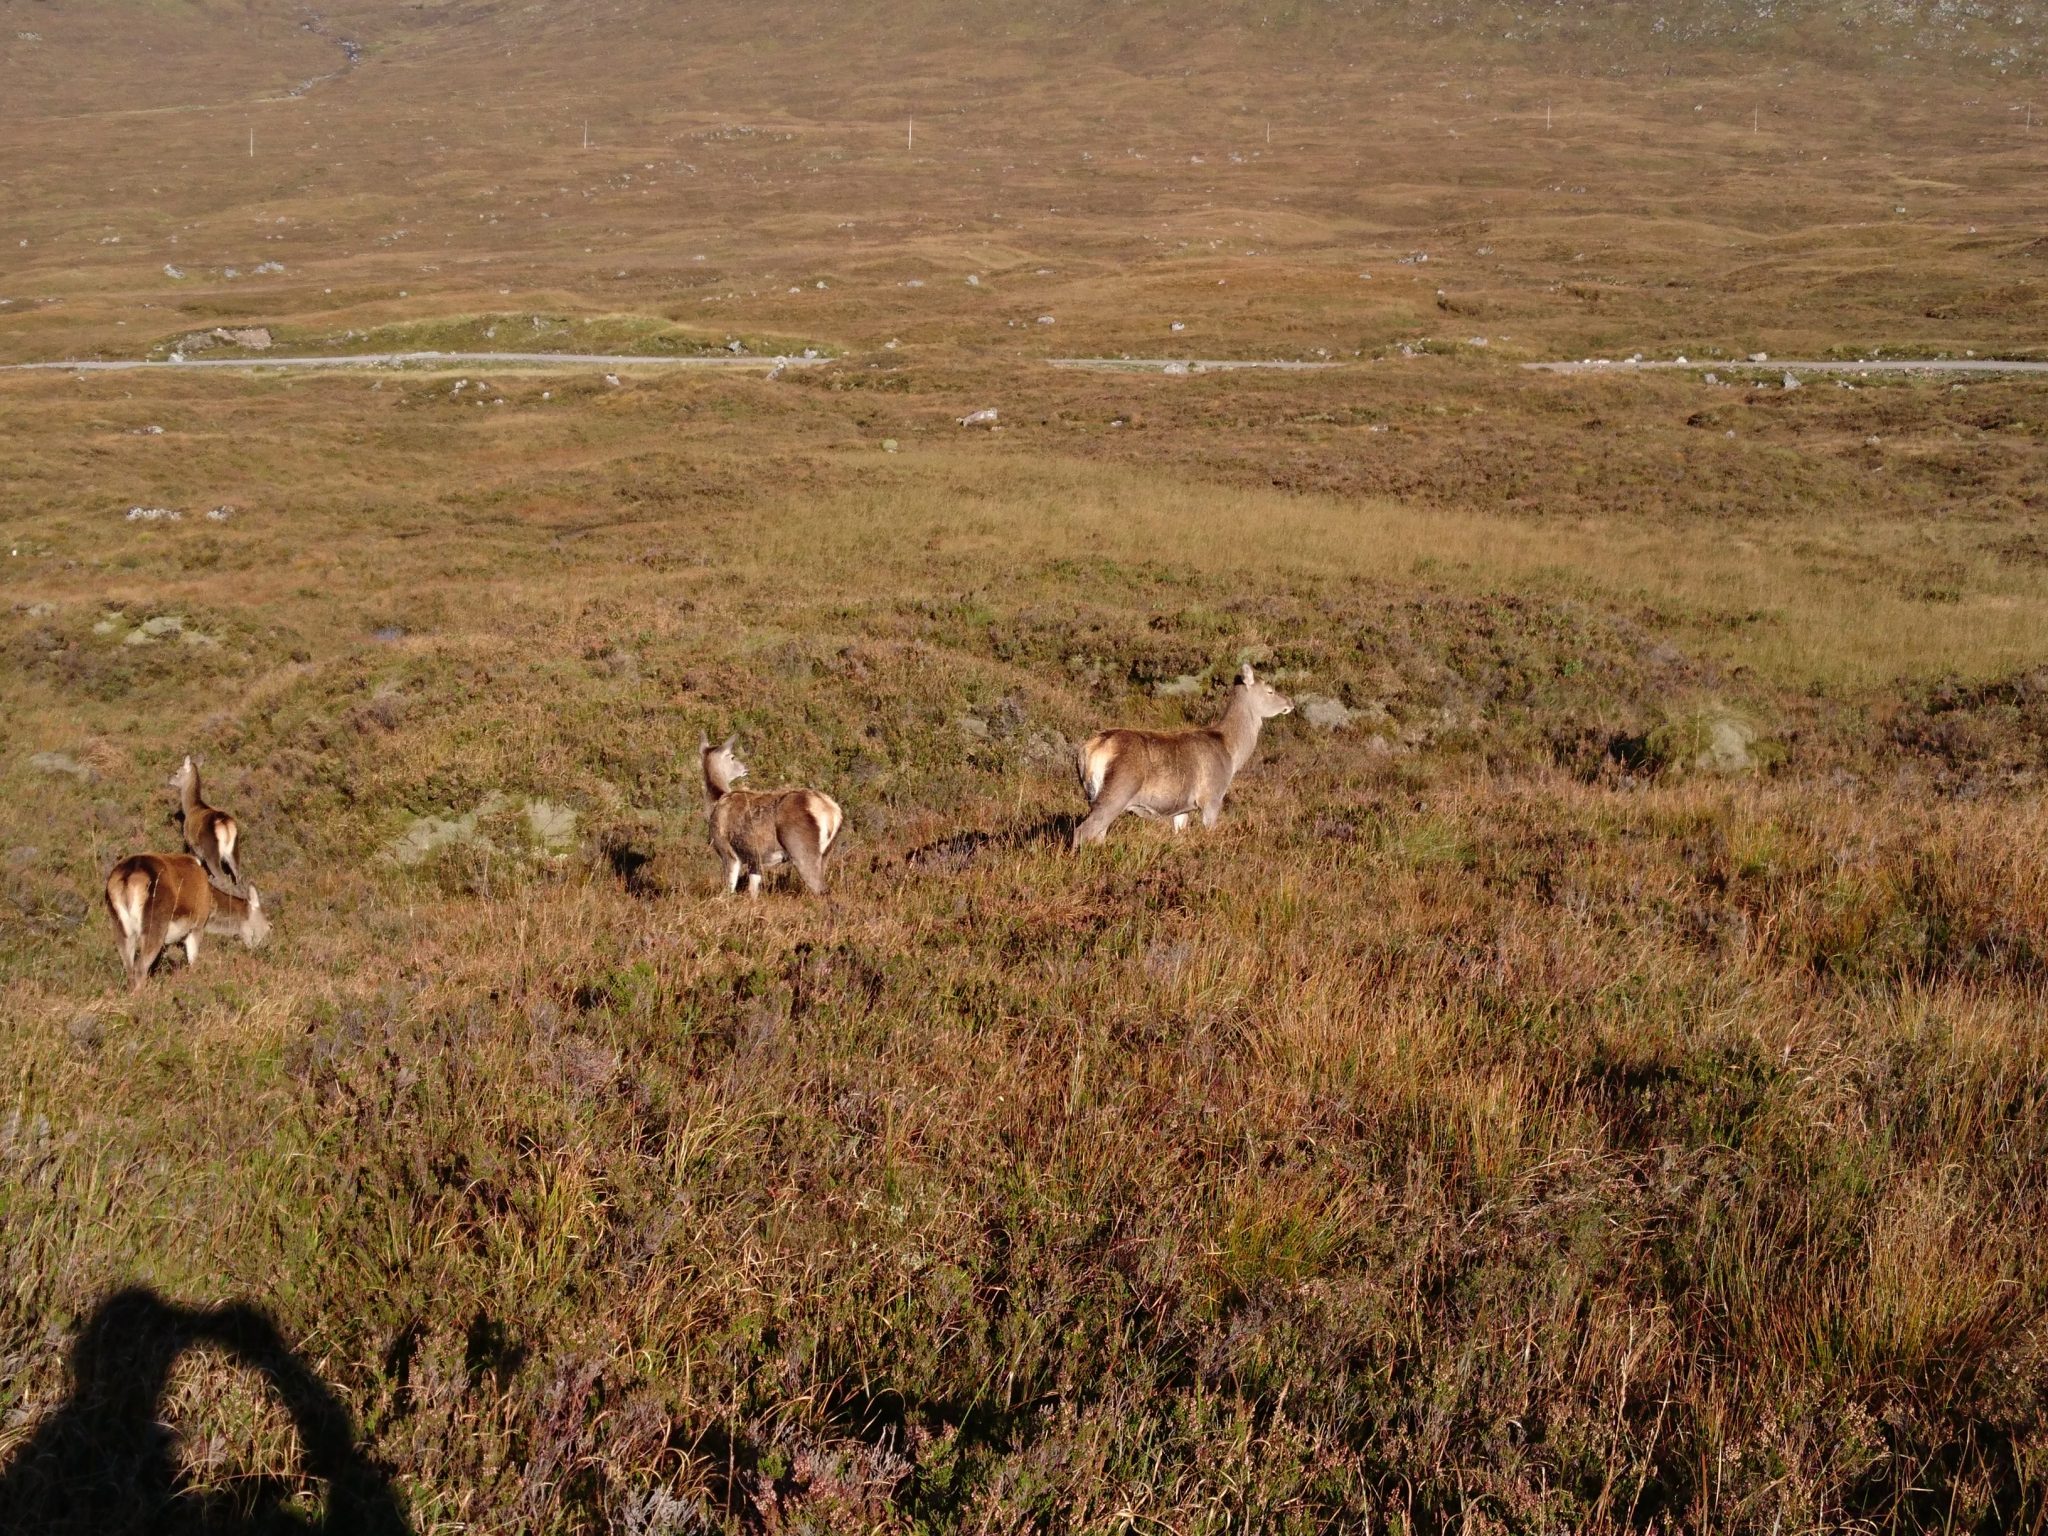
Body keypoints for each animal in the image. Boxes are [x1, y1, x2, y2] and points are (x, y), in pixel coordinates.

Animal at [103, 856, 270, 999]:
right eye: (270, 925)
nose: (264, 950)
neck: (210, 899)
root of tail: (129, 876)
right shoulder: (197, 925)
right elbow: (193, 961)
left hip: (119, 925)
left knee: (129, 966)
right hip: (155, 923)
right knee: (140, 966)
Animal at [165, 757, 241, 888]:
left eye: (177, 772)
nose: (169, 778)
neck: (190, 808)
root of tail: (225, 825)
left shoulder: (191, 845)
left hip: (211, 853)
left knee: (222, 877)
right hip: (234, 851)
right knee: (239, 876)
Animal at [696, 737, 839, 901]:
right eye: (732, 757)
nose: (746, 768)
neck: (716, 802)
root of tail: (832, 812)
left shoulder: (727, 850)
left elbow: (728, 891)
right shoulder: (754, 859)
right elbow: (753, 892)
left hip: (802, 849)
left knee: (822, 890)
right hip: (827, 853)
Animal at [1073, 663, 1294, 856]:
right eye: (1270, 690)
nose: (1290, 703)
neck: (1231, 753)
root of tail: (1091, 749)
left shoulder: (1182, 809)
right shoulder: (1212, 796)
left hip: (1093, 795)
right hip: (1118, 791)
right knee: (1082, 830)